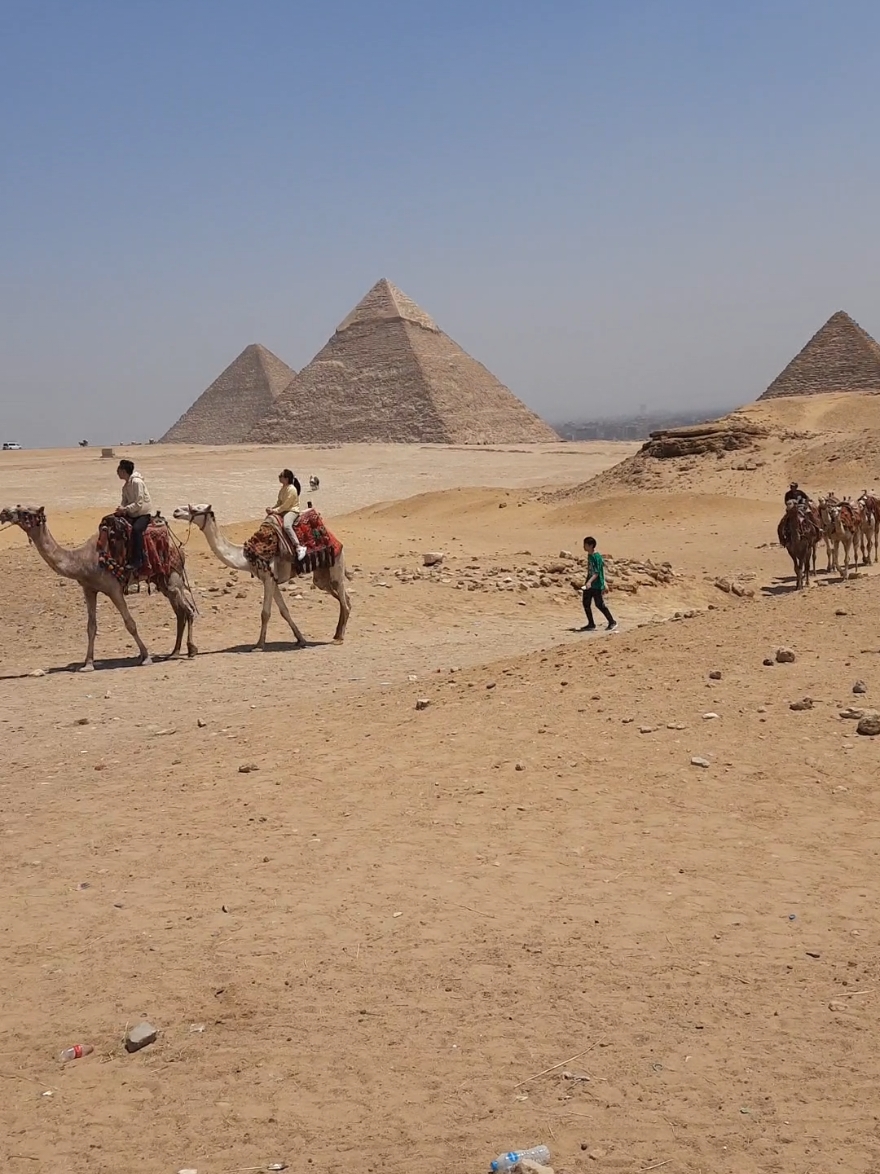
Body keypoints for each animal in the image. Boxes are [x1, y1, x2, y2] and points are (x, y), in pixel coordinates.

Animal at [0, 504, 195, 671]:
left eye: (25, 511)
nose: (4, 512)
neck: (81, 560)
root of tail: (178, 547)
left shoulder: (114, 589)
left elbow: (130, 623)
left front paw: (146, 657)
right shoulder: (89, 589)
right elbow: (91, 627)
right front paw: (87, 664)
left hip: (172, 577)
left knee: (188, 609)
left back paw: (190, 650)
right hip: (161, 580)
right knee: (181, 611)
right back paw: (176, 652)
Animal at [172, 504, 352, 652]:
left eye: (196, 509)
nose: (176, 511)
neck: (246, 556)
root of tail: (335, 538)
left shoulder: (268, 579)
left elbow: (265, 613)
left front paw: (258, 645)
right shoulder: (273, 580)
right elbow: (284, 611)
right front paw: (301, 639)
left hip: (336, 562)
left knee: (343, 598)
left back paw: (340, 638)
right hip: (322, 576)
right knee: (343, 597)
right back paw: (337, 634)